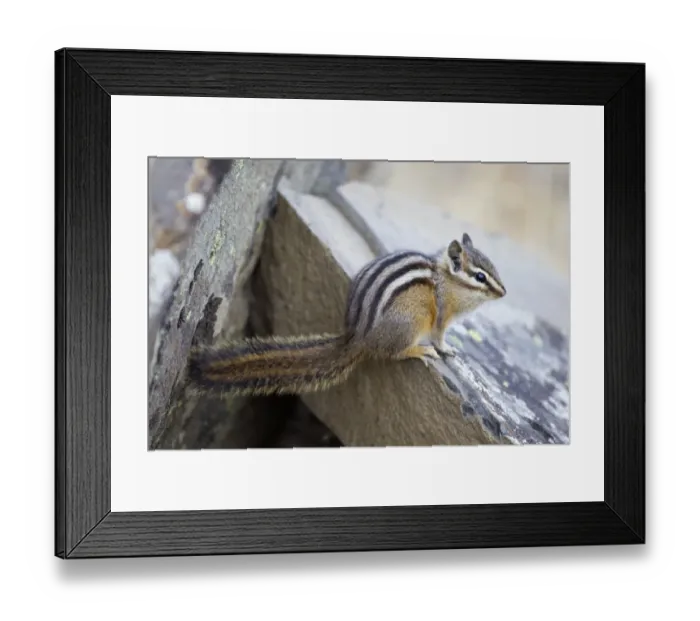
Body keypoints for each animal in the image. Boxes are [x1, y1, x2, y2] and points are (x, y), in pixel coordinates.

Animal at [186, 231, 506, 398]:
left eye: (493, 267)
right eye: (480, 276)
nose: (504, 292)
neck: (448, 282)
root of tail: (360, 336)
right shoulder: (441, 313)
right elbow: (440, 335)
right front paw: (446, 349)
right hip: (412, 320)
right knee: (394, 353)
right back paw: (419, 349)